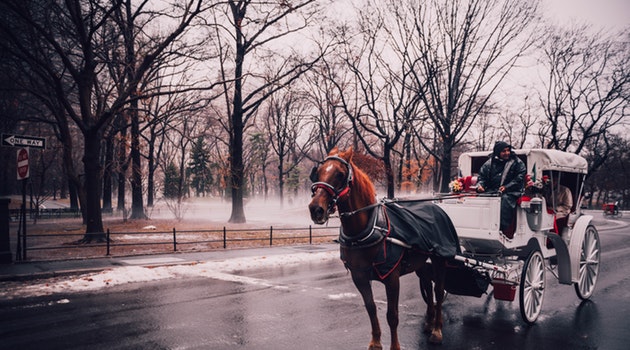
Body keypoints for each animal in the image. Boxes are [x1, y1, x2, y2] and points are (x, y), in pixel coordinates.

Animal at [310, 146, 450, 348]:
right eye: (318, 172)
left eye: (340, 174)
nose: (316, 209)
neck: (367, 230)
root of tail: (435, 206)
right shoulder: (359, 276)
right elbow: (371, 308)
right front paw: (375, 342)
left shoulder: (392, 277)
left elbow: (392, 316)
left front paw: (395, 346)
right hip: (422, 263)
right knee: (427, 286)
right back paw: (429, 322)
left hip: (440, 259)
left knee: (438, 291)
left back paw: (437, 329)